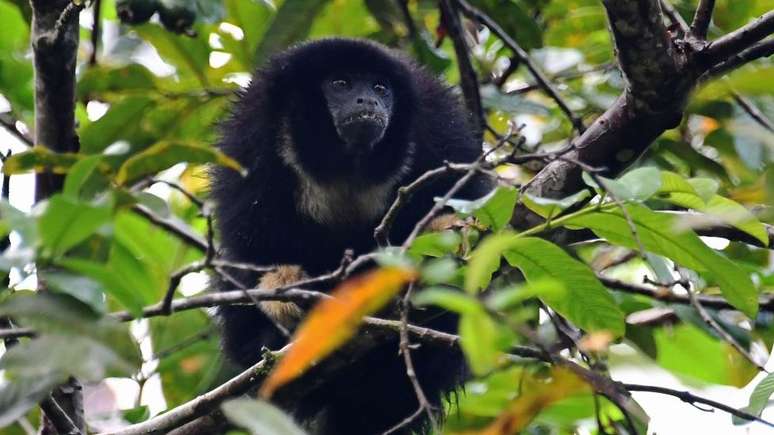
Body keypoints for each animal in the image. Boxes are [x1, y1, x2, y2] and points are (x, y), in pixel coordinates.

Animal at [211, 39, 492, 434]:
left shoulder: (438, 122)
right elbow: (247, 240)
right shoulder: (251, 135)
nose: (367, 101)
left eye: (379, 87)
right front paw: (283, 290)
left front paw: (447, 230)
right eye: (341, 84)